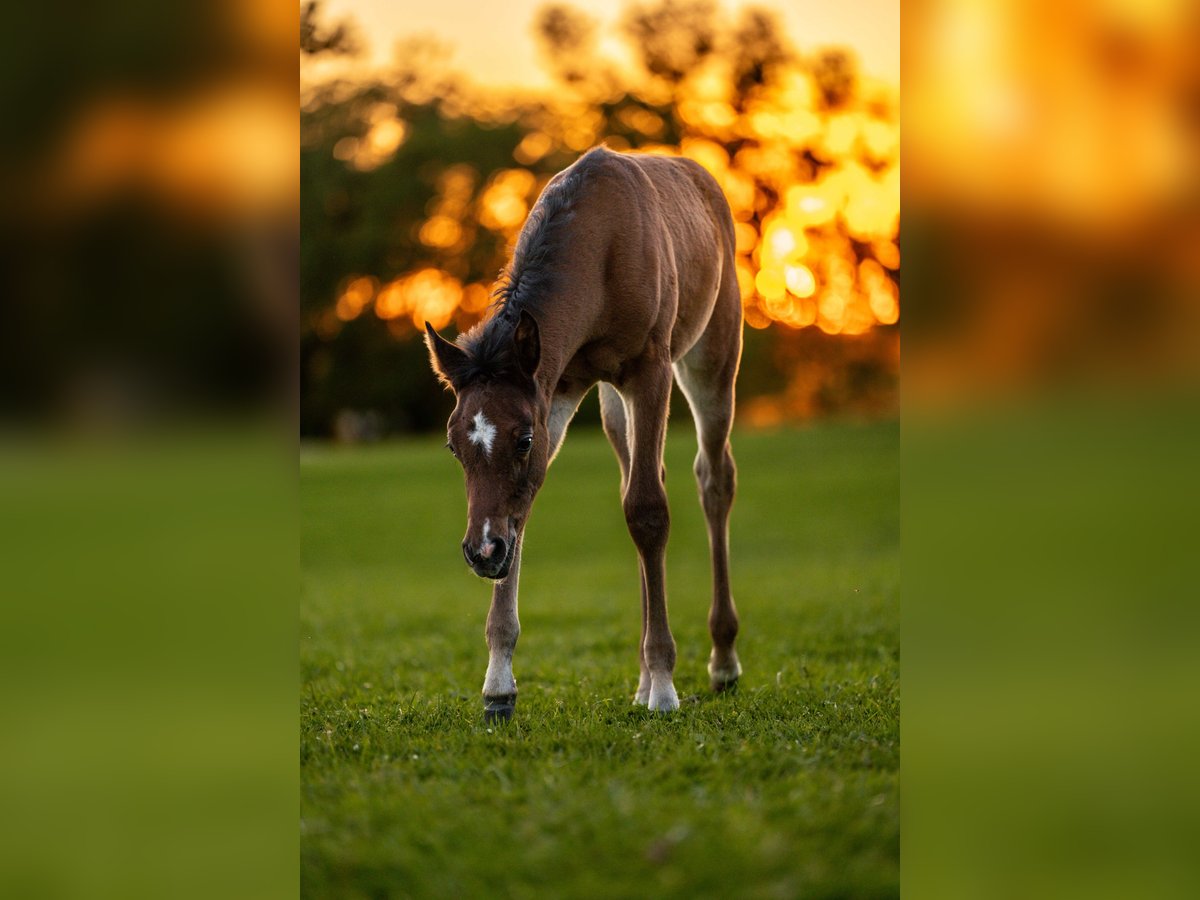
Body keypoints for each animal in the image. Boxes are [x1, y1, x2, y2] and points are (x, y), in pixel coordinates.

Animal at [422, 144, 739, 724]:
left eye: (522, 440)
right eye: (454, 446)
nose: (481, 553)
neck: (601, 248)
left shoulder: (649, 369)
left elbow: (649, 512)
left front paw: (666, 687)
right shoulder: (556, 386)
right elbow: (522, 512)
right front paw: (498, 686)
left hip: (712, 356)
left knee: (713, 479)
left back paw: (722, 662)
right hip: (614, 401)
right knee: (640, 474)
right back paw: (641, 681)